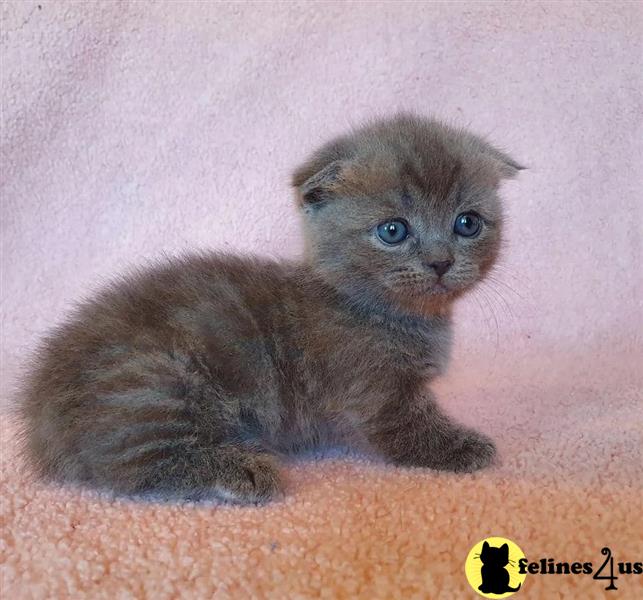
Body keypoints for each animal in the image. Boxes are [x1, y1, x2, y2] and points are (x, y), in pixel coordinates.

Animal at [18, 112, 524, 502]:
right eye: (393, 230)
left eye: (467, 223)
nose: (440, 261)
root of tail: (40, 411)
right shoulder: (374, 391)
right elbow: (412, 427)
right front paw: (463, 447)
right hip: (154, 385)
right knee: (129, 466)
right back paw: (241, 470)